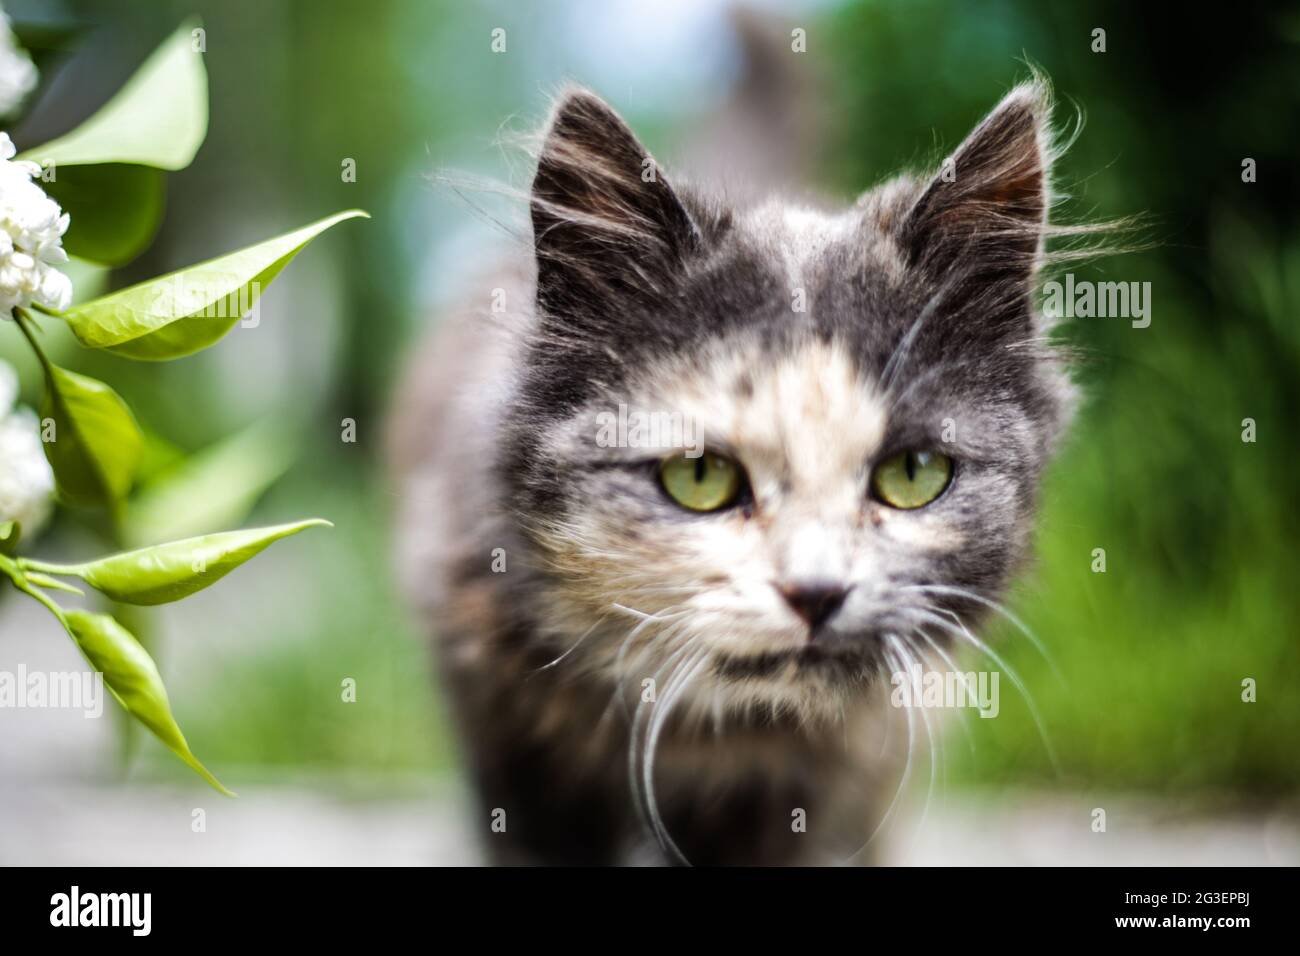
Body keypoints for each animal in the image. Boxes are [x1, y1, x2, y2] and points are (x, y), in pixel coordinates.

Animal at [392, 76, 1097, 868]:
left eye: (913, 474)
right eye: (700, 477)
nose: (817, 592)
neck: (714, 736)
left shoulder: (809, 786)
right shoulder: (512, 748)